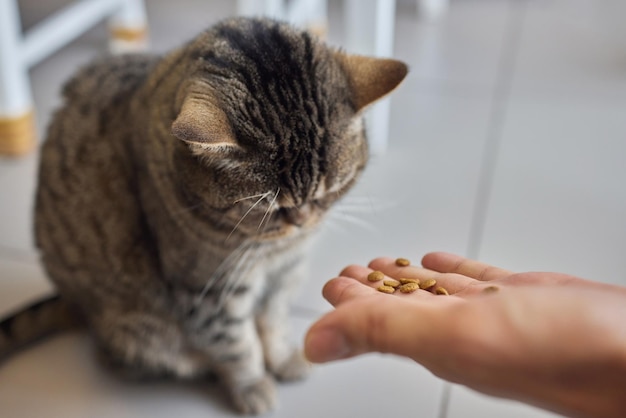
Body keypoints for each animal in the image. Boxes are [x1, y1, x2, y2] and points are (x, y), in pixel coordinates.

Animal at [0, 17, 408, 414]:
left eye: (330, 192)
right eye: (268, 207)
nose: (303, 222)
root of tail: (74, 306)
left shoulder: (285, 271)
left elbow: (274, 321)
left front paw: (281, 359)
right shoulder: (208, 292)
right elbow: (236, 344)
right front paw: (253, 386)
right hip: (139, 329)